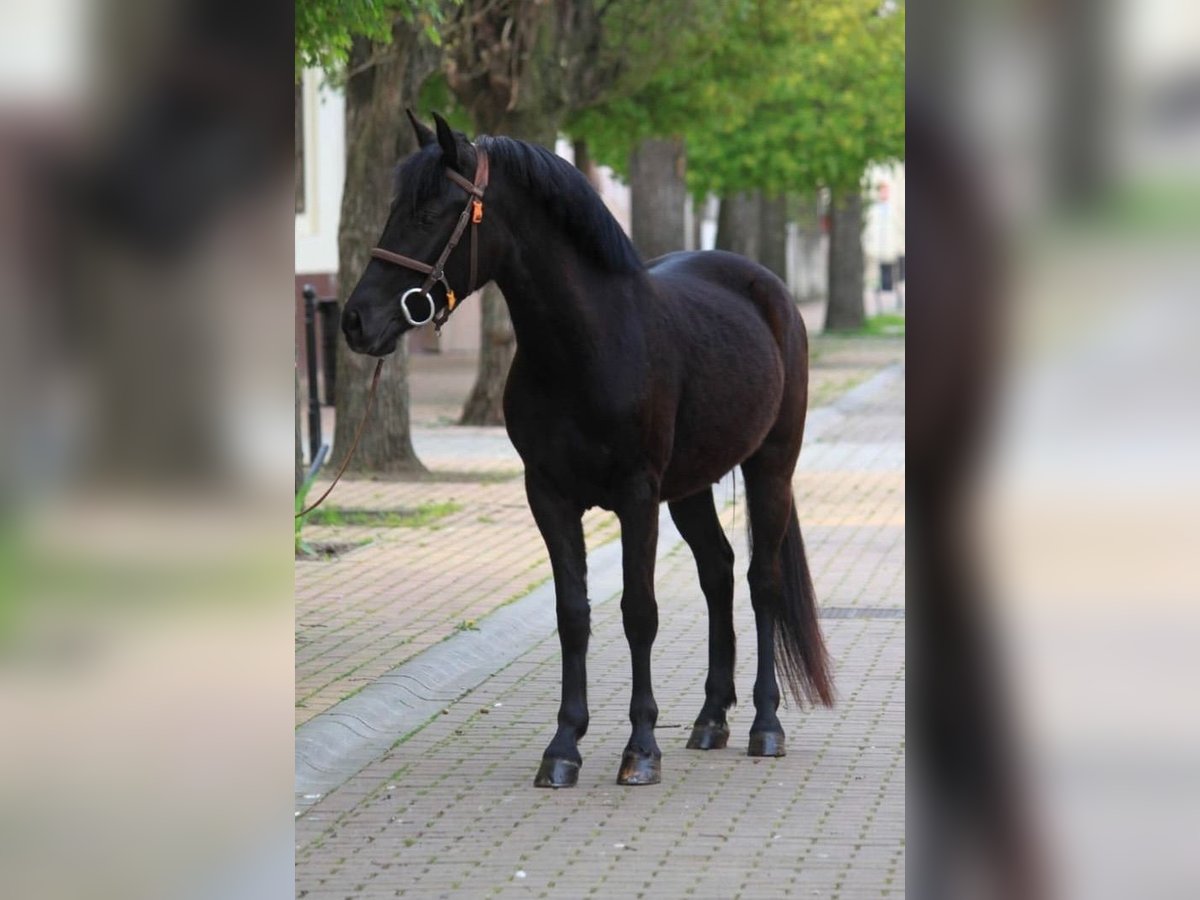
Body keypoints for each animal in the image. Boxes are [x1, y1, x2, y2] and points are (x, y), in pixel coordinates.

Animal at [341, 112, 834, 788]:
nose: (356, 321)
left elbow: (638, 611)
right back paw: (710, 719)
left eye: (432, 211)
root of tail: (771, 291)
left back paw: (765, 725)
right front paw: (563, 747)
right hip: (691, 486)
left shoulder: (637, 496)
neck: (587, 344)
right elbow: (572, 613)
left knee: (762, 580)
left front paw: (641, 748)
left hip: (770, 468)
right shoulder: (548, 495)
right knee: (718, 571)